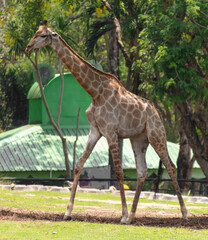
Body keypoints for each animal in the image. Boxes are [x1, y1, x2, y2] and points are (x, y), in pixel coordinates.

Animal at [25, 21, 187, 224]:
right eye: (35, 32)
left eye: (43, 35)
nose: (27, 47)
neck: (95, 92)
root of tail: (157, 112)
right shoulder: (95, 130)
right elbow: (78, 165)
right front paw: (67, 212)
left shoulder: (111, 132)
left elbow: (118, 171)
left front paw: (122, 215)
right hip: (138, 139)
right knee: (142, 171)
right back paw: (132, 216)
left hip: (156, 134)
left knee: (170, 166)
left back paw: (183, 214)